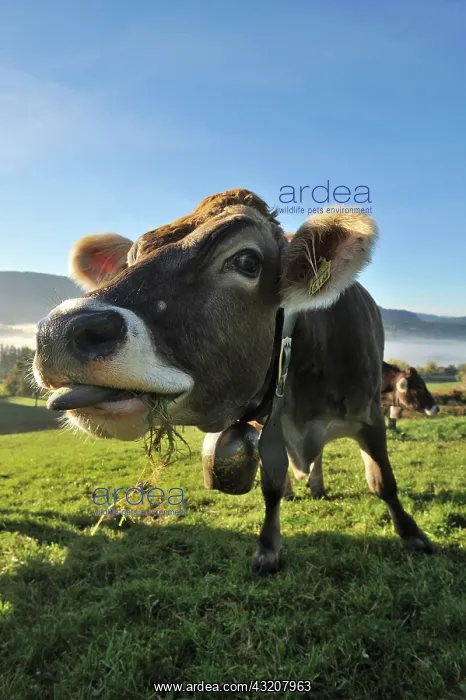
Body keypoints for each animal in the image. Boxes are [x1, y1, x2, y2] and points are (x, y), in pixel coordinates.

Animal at [33, 188, 435, 575]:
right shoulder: (267, 424)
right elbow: (271, 486)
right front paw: (268, 549)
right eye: (130, 261)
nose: (58, 333)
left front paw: (413, 535)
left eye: (247, 261)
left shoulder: (370, 413)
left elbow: (383, 481)